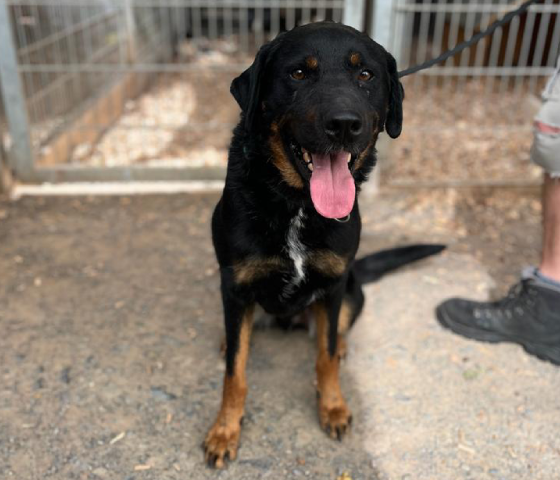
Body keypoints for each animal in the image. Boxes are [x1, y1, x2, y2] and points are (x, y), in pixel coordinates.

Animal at [204, 21, 443, 468]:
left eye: (365, 75)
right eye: (299, 73)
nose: (345, 124)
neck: (298, 204)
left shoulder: (333, 286)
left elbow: (326, 357)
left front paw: (332, 406)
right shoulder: (237, 286)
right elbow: (235, 374)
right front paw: (225, 429)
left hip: (352, 288)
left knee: (337, 329)